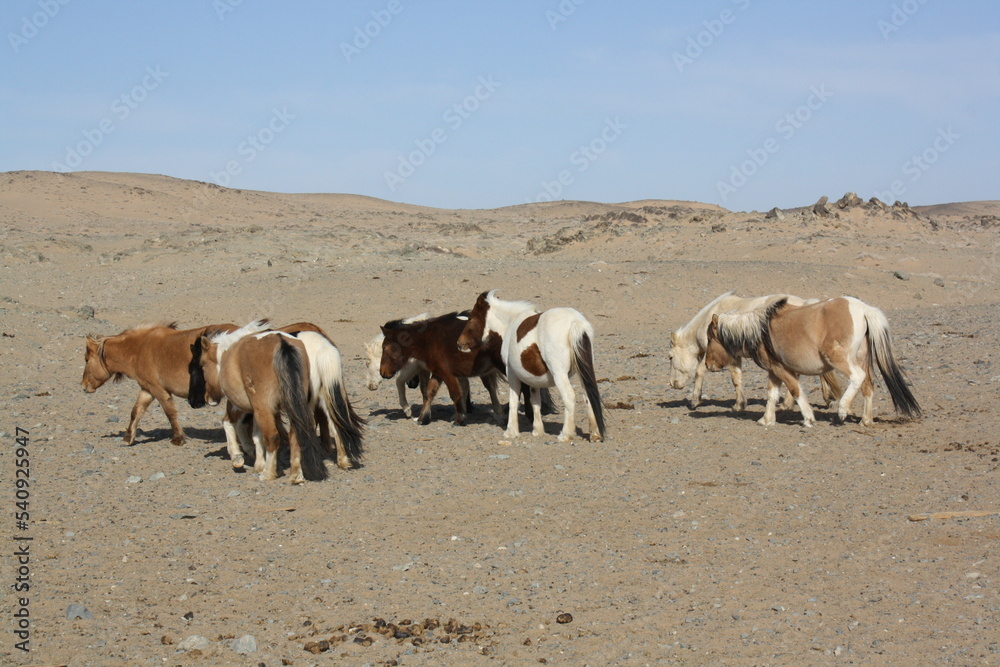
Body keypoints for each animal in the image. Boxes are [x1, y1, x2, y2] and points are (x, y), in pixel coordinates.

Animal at [458, 290, 604, 444]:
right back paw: (595, 434)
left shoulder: (511, 372)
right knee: (588, 397)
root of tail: (575, 322)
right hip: (582, 372)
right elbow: (535, 401)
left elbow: (514, 400)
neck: (511, 321)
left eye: (471, 318)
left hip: (559, 374)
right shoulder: (534, 377)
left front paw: (511, 432)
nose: (459, 343)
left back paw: (565, 435)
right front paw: (537, 430)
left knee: (569, 396)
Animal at [672, 292, 844, 412]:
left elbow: (706, 372)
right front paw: (740, 403)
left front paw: (696, 400)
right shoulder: (735, 357)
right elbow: (736, 377)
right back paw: (826, 399)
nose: (673, 384)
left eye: (670, 357)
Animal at [704, 298, 920, 428]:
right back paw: (866, 420)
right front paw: (766, 419)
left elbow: (795, 390)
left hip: (839, 358)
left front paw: (808, 418)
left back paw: (843, 409)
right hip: (862, 358)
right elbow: (772, 395)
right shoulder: (774, 371)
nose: (707, 365)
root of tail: (863, 310)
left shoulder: (782, 370)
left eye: (710, 339)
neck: (761, 330)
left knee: (857, 377)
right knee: (868, 385)